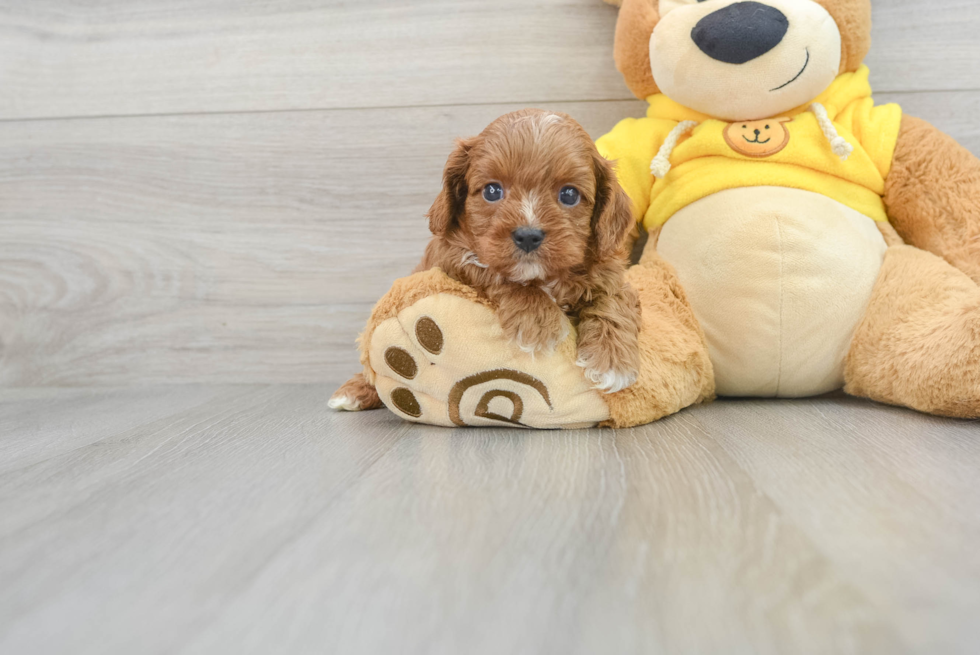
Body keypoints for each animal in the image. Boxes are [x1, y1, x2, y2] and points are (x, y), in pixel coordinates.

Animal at [332, 110, 644, 412]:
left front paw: (612, 361)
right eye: (492, 191)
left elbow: (614, 301)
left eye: (569, 194)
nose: (528, 235)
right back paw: (354, 391)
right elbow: (494, 273)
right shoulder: (453, 258)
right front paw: (538, 321)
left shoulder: (609, 273)